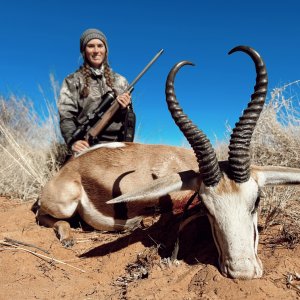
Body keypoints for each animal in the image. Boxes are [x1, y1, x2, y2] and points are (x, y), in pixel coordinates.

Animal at [35, 45, 300, 280]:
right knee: (44, 216)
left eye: (257, 200)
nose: (241, 272)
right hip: (64, 205)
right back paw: (68, 236)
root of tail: (68, 168)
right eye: (207, 208)